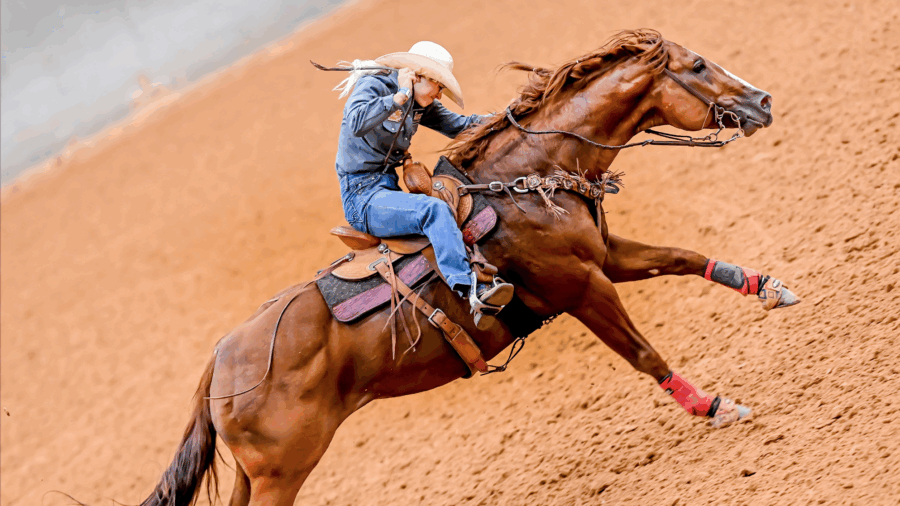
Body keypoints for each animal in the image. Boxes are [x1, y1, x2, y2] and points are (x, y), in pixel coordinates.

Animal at [138, 29, 792, 506]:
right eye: (699, 64)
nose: (762, 101)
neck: (524, 180)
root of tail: (220, 365)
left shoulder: (606, 258)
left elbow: (683, 257)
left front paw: (768, 287)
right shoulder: (583, 287)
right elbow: (643, 353)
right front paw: (715, 407)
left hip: (257, 474)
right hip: (281, 471)